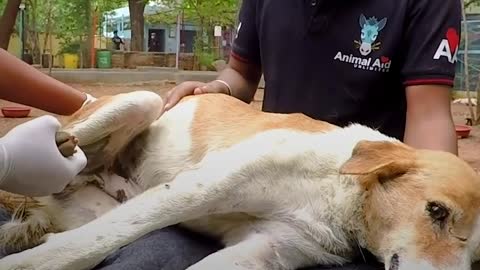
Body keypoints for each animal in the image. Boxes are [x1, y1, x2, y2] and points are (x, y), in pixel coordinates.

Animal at [0, 91, 480, 270]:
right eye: (436, 210)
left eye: (475, 255)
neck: (341, 193)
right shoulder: (202, 187)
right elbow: (90, 245)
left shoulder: (267, 249)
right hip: (142, 101)